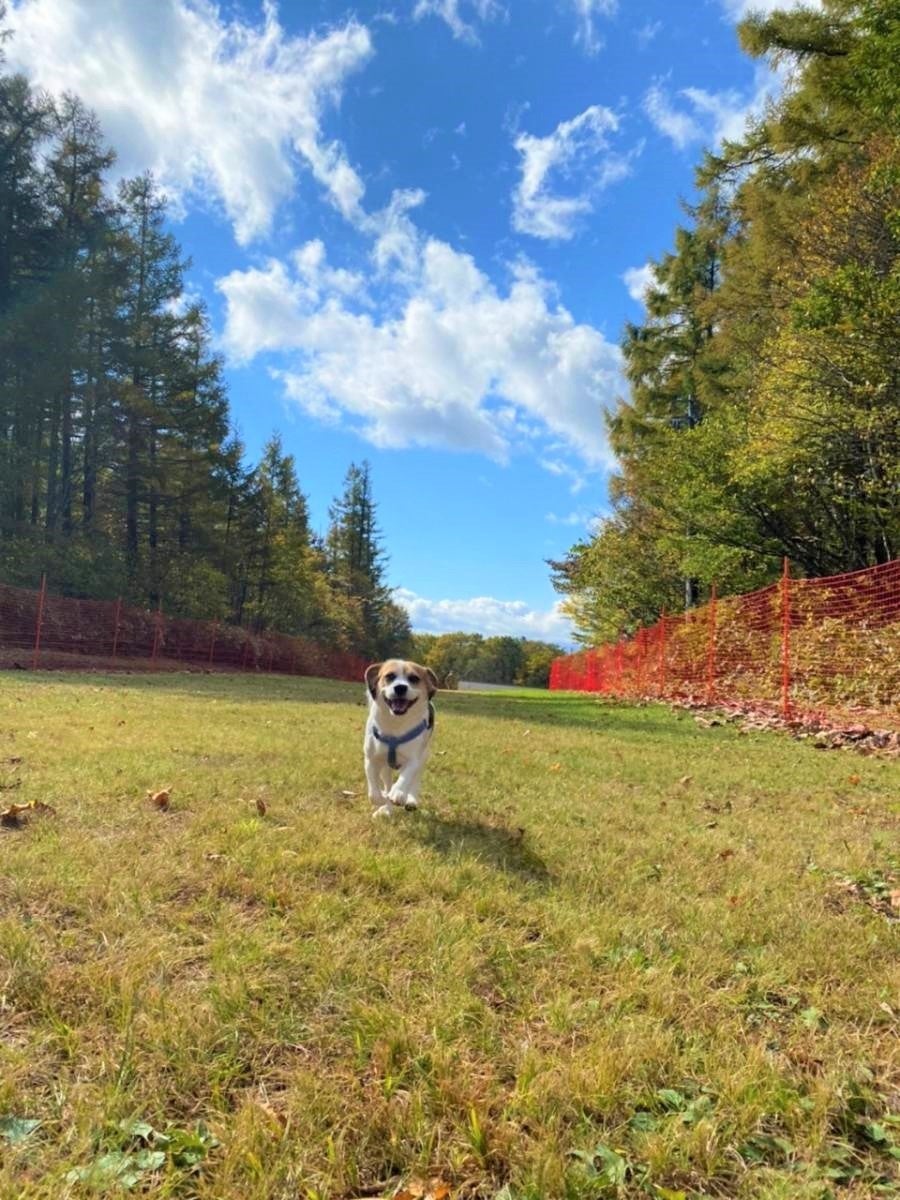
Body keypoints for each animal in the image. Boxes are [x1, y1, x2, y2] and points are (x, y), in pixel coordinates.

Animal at [364, 662, 439, 820]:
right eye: (389, 676)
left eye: (414, 678)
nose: (400, 687)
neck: (396, 724)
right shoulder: (371, 759)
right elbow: (373, 791)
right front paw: (381, 799)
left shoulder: (414, 759)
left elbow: (407, 776)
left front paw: (398, 793)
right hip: (385, 768)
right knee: (387, 782)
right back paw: (387, 807)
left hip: (424, 756)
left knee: (415, 779)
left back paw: (410, 800)